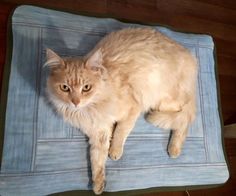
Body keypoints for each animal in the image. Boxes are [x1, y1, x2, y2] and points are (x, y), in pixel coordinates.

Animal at [44, 27, 197, 194]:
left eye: (86, 88)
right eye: (65, 88)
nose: (75, 102)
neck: (90, 108)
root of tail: (189, 57)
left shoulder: (133, 108)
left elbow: (120, 131)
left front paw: (115, 151)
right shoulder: (98, 133)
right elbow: (96, 160)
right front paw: (98, 184)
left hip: (160, 101)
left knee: (184, 119)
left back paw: (174, 149)